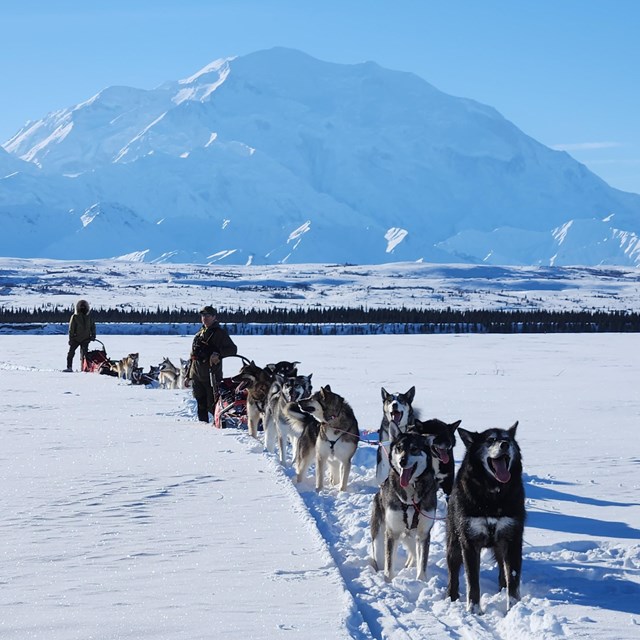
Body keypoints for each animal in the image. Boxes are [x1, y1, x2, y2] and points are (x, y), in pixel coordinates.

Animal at [370, 422, 440, 584]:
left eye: (414, 449)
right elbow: (389, 565)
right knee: (380, 557)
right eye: (399, 448)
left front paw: (421, 582)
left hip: (411, 536)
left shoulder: (423, 534)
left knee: (414, 554)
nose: (402, 461)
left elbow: (422, 563)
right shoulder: (392, 532)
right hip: (380, 537)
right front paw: (388, 583)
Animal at [444, 422, 524, 612]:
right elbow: (473, 582)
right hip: (454, 546)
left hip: (500, 547)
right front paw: (474, 611)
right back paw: (451, 597)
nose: (505, 444)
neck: (494, 495)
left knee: (503, 572)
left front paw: (514, 609)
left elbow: (513, 579)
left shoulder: (512, 539)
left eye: (507, 439)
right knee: (453, 575)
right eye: (490, 440)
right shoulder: (469, 543)